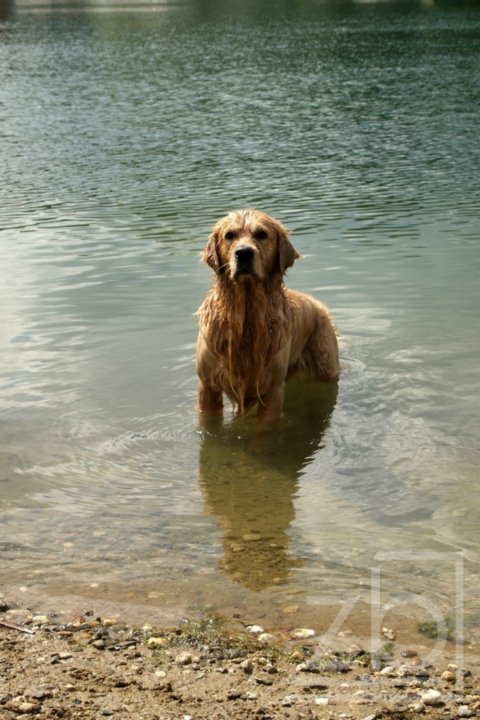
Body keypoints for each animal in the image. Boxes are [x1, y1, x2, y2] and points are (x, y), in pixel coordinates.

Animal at [194, 208, 338, 420]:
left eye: (262, 234)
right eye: (229, 235)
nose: (244, 253)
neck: (247, 317)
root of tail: (319, 305)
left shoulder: (272, 390)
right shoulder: (208, 387)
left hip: (326, 366)